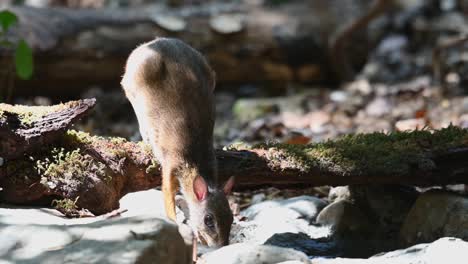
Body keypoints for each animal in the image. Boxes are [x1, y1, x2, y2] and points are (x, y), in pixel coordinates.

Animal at [121, 37, 234, 248]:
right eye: (209, 220)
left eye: (231, 217)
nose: (221, 246)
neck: (195, 160)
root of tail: (155, 41)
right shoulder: (170, 165)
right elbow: (168, 196)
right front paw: (175, 223)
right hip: (130, 88)